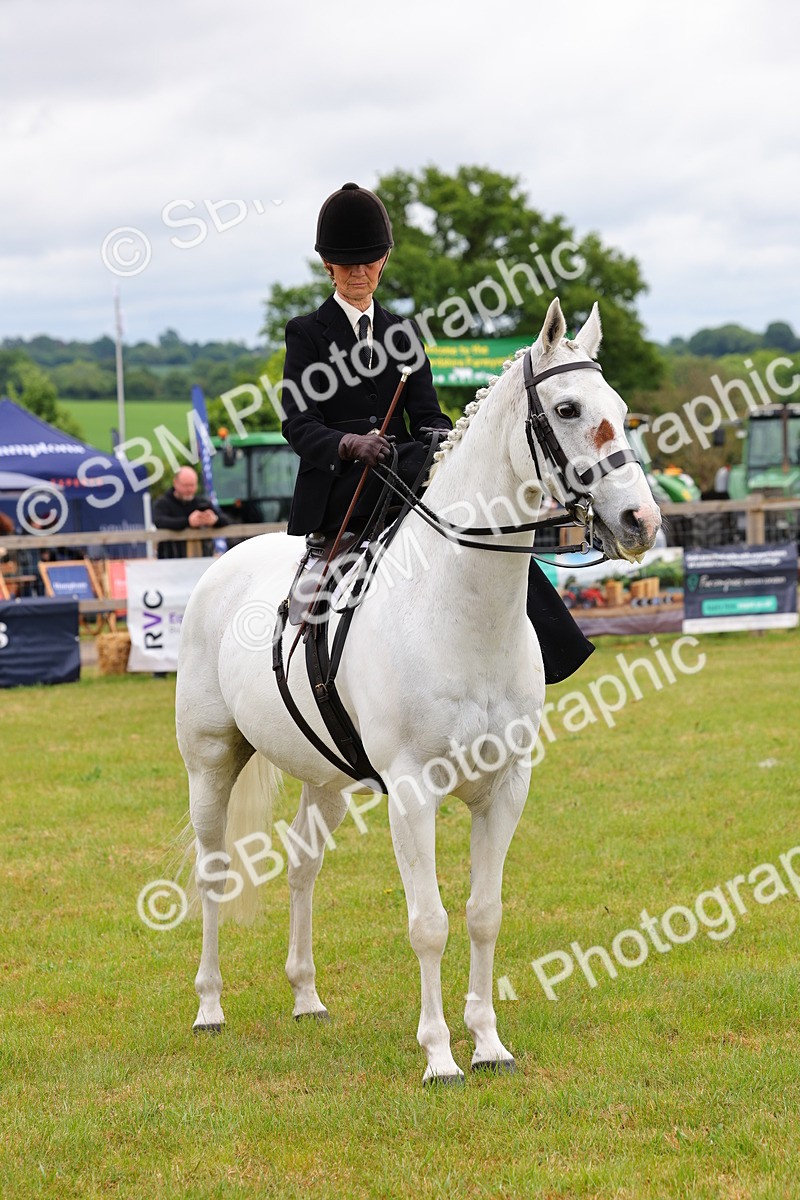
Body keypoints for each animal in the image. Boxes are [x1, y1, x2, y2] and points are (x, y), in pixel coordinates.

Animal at [175, 297, 661, 1085]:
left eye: (622, 410)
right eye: (566, 408)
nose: (640, 522)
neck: (458, 611)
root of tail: (227, 560)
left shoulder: (506, 787)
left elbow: (484, 913)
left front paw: (488, 1044)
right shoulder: (411, 792)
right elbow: (428, 923)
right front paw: (439, 1056)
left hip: (325, 777)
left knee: (302, 869)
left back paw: (306, 997)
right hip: (211, 762)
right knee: (213, 872)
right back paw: (210, 1007)